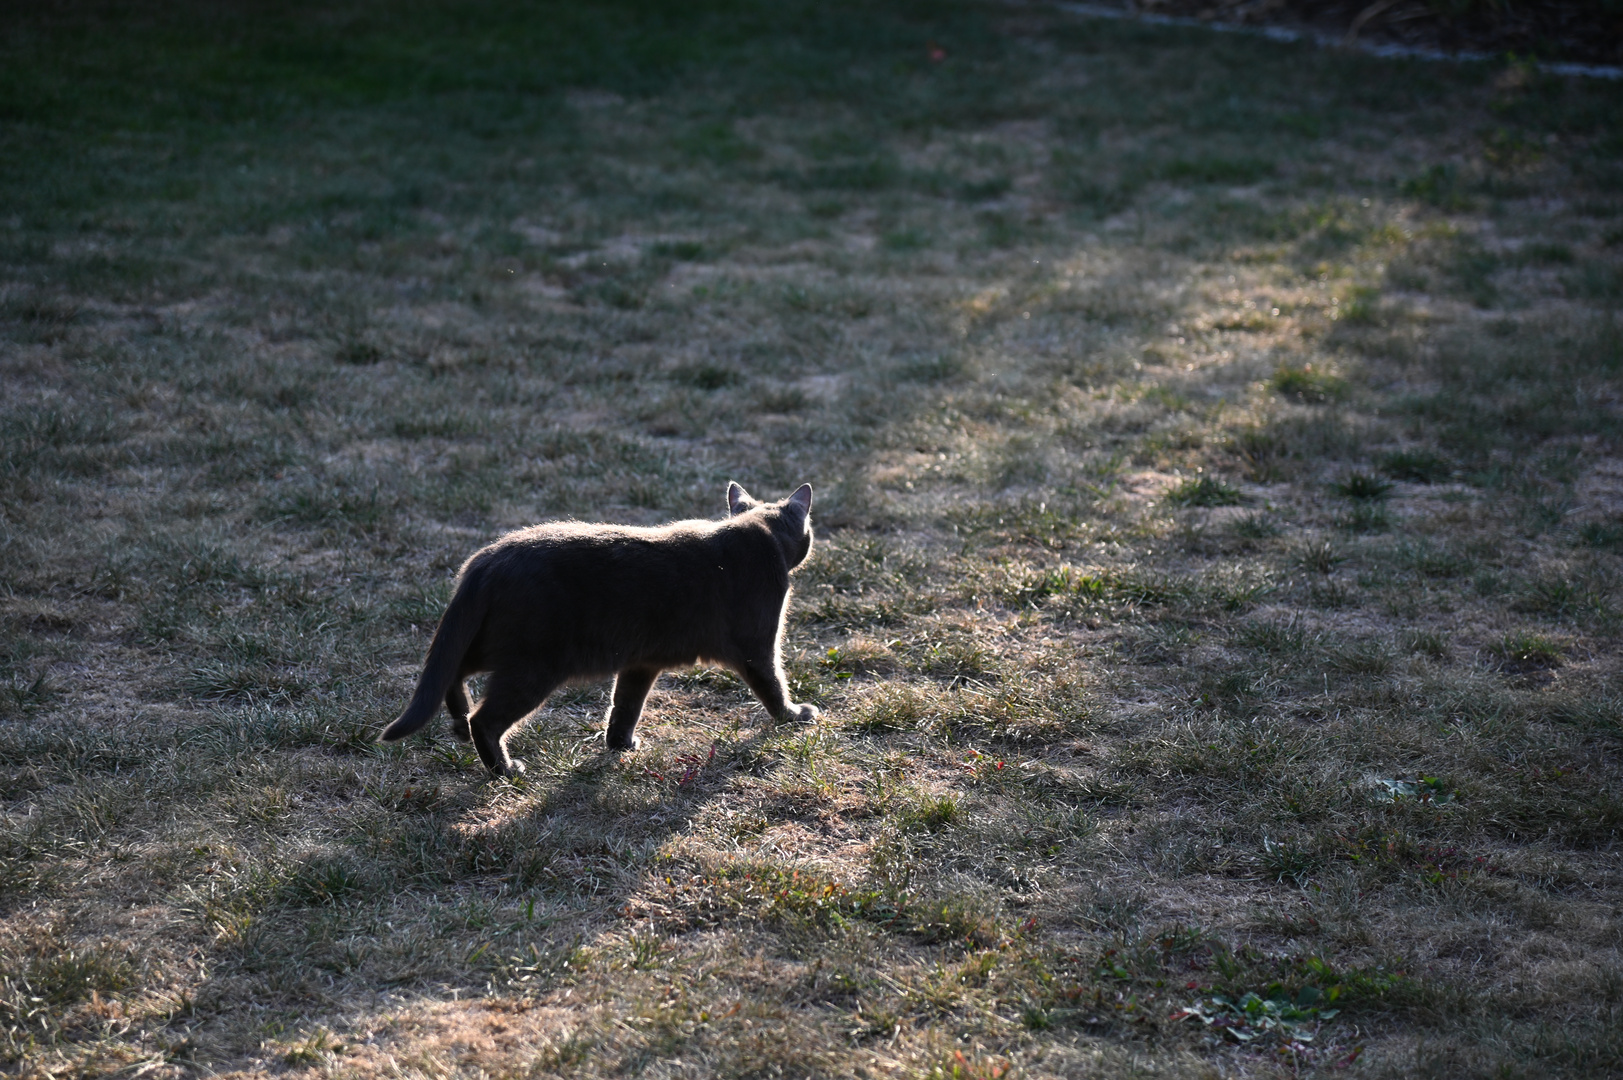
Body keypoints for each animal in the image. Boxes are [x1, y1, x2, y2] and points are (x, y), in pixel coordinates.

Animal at [381, 480, 824, 776]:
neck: (760, 534)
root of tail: (484, 561)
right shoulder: (757, 647)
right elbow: (772, 685)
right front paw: (793, 715)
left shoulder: (642, 662)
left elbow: (626, 705)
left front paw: (620, 744)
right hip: (534, 666)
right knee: (484, 719)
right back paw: (503, 768)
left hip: (492, 645)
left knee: (448, 673)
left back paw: (457, 723)